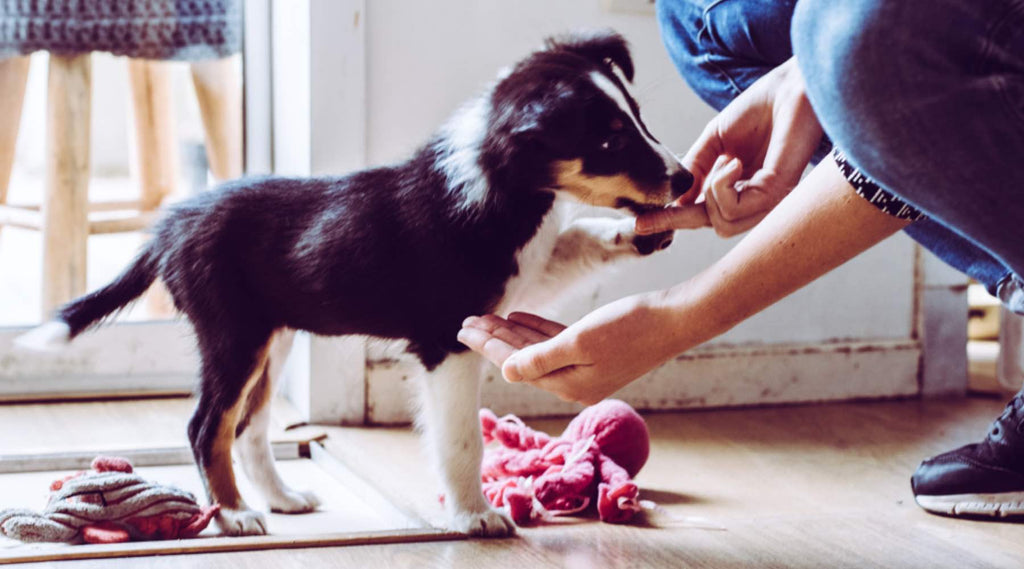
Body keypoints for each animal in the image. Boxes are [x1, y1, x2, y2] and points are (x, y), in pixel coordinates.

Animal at [19, 30, 696, 536]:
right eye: (607, 140)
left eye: (637, 119)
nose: (686, 179)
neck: (500, 183)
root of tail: (167, 228)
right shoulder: (448, 342)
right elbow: (459, 441)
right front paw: (475, 517)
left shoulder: (518, 276)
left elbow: (575, 239)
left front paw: (637, 233)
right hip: (233, 336)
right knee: (207, 427)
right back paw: (235, 515)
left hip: (272, 339)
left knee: (249, 427)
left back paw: (281, 499)